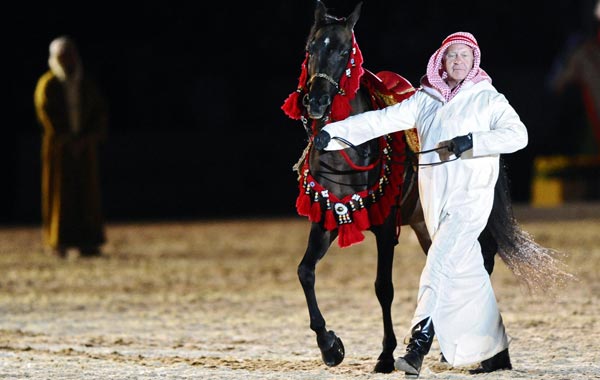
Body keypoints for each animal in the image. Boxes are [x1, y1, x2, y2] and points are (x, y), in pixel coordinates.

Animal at [282, 0, 548, 374]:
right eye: (310, 48)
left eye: (345, 51)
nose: (316, 103)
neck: (347, 152)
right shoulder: (328, 218)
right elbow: (305, 272)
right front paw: (330, 346)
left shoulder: (384, 225)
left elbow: (383, 287)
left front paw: (385, 355)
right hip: (424, 224)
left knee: (476, 260)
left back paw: (487, 353)